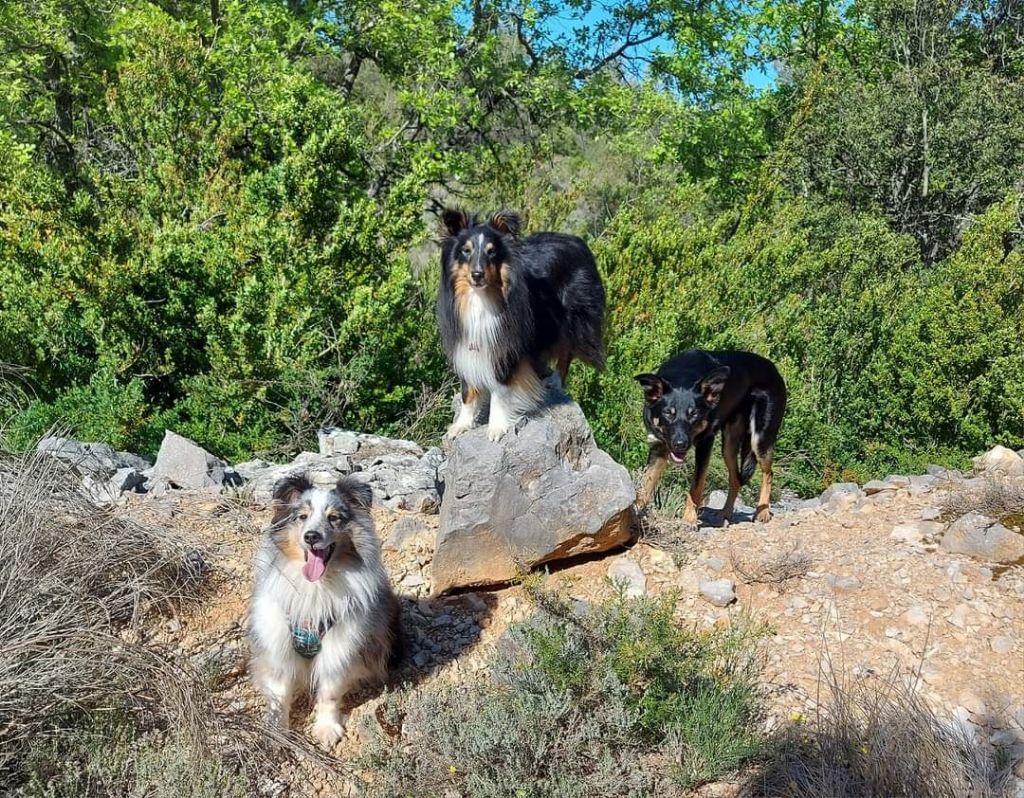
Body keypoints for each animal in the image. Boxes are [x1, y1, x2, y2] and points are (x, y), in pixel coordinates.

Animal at [634, 350, 786, 524]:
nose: (680, 444)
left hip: (760, 439)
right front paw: (634, 513)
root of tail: (773, 368)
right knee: (735, 479)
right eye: (668, 413)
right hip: (729, 446)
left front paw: (689, 519)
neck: (683, 376)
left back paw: (763, 512)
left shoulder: (705, 444)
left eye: (694, 413)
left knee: (768, 473)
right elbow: (645, 484)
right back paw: (725, 513)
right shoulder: (659, 447)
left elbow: (696, 486)